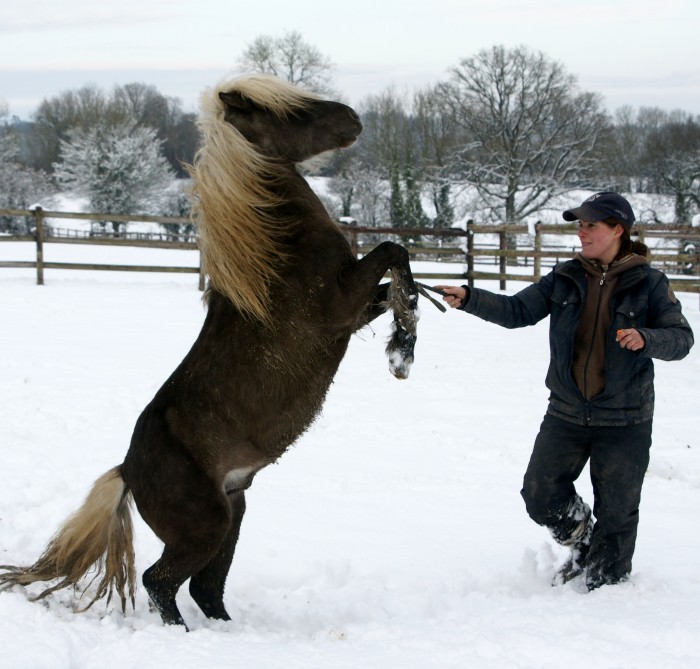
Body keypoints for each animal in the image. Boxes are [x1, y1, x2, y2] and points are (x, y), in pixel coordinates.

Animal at [0, 75, 418, 628]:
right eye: (289, 113)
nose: (353, 118)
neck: (279, 252)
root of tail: (127, 470)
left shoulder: (354, 311)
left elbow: (398, 277)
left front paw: (405, 336)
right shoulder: (340, 305)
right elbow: (394, 251)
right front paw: (403, 353)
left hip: (234, 514)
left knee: (205, 589)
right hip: (206, 525)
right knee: (160, 582)